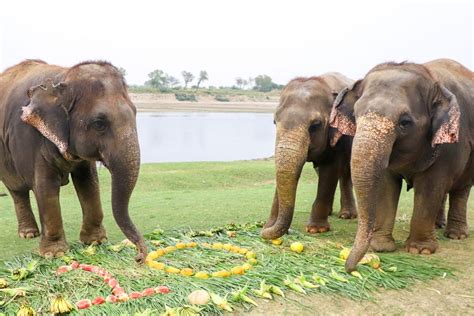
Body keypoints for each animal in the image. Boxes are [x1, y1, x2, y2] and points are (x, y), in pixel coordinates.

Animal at [0, 59, 146, 262]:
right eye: (99, 123)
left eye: (135, 113)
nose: (139, 257)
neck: (62, 78)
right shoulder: (32, 139)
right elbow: (45, 186)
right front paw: (55, 254)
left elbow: (89, 182)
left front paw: (95, 242)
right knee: (17, 189)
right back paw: (29, 234)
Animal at [262, 73, 358, 239]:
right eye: (274, 121)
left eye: (316, 125)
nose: (262, 229)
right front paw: (269, 225)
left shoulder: (337, 136)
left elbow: (330, 170)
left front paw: (316, 229)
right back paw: (330, 212)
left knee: (345, 173)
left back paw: (347, 215)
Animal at [330, 58, 474, 272]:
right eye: (355, 115)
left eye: (405, 122)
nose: (350, 269)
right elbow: (386, 185)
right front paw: (381, 247)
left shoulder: (449, 146)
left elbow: (430, 186)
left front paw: (420, 250)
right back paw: (438, 226)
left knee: (461, 189)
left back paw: (456, 235)